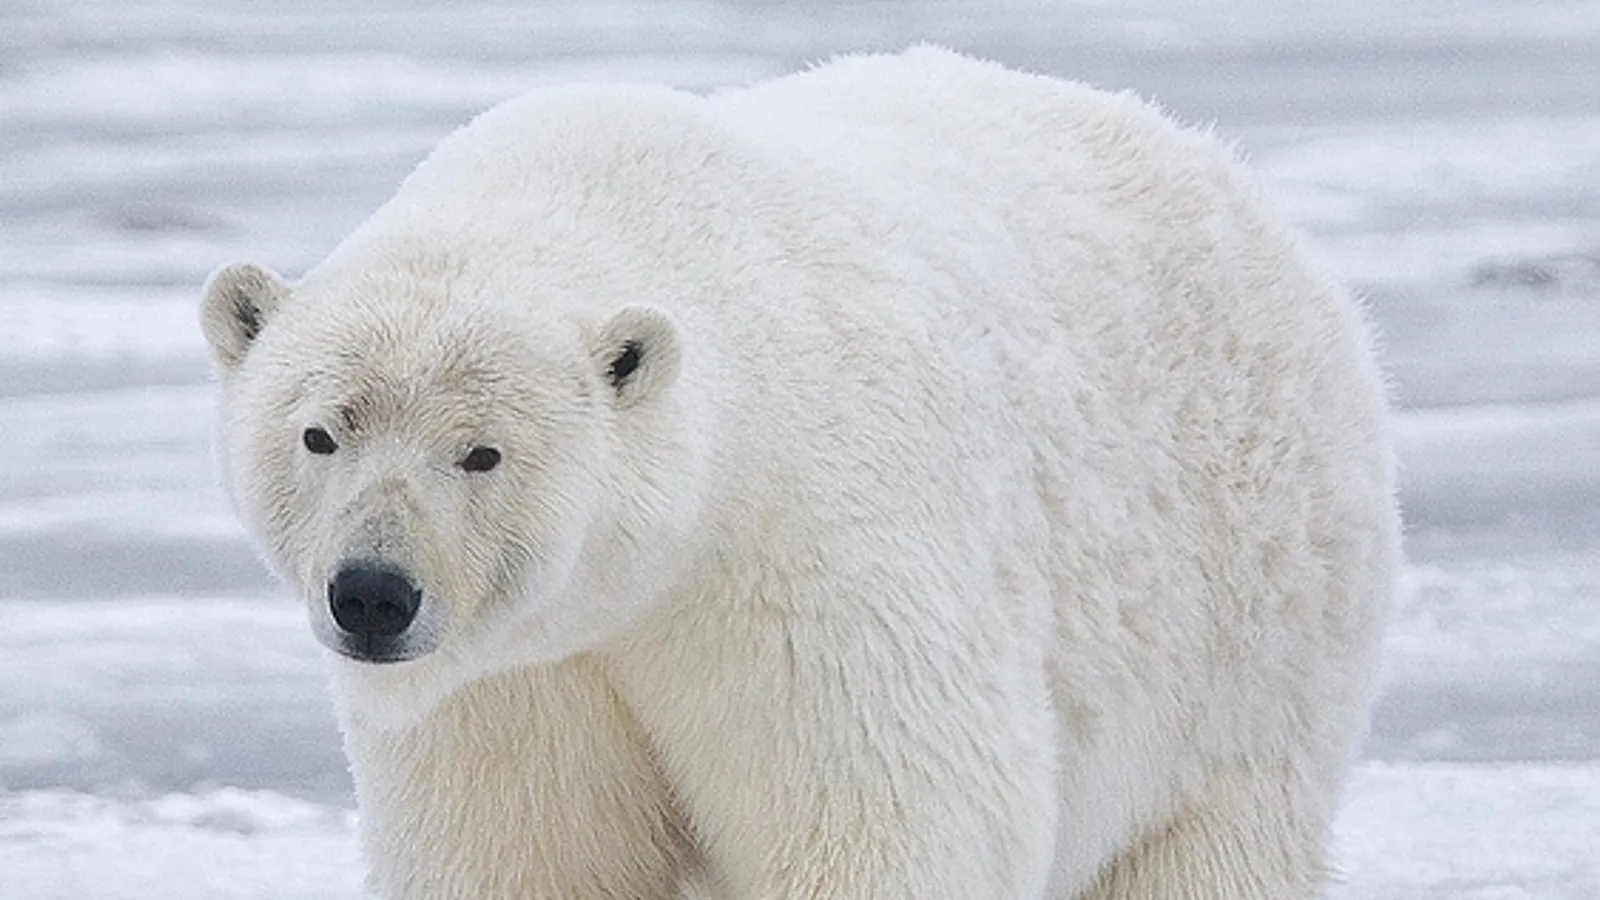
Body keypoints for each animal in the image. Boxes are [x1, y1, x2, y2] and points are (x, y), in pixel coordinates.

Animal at [201, 47, 1400, 900]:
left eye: (481, 450)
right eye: (320, 434)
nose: (372, 595)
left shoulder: (807, 560)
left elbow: (892, 818)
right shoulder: (518, 678)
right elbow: (524, 849)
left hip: (1249, 623)